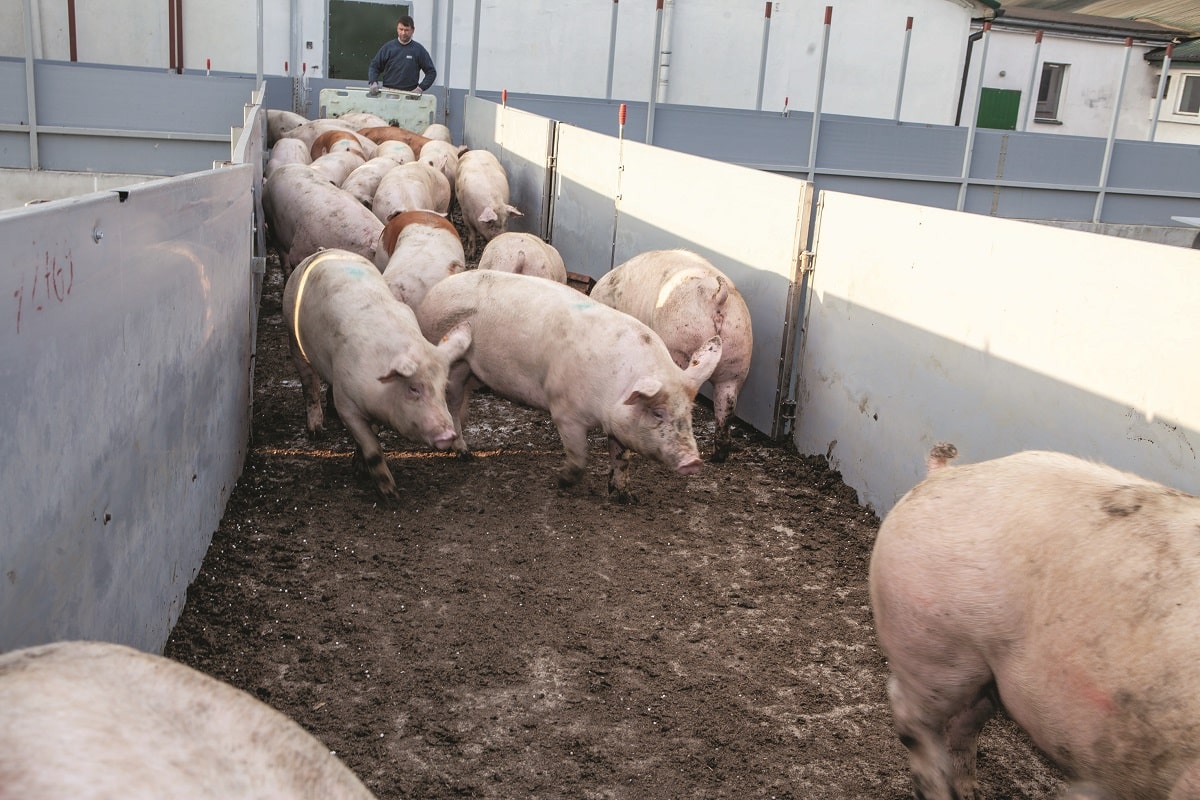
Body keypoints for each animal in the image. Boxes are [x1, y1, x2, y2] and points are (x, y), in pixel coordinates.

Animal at [283, 250, 470, 501]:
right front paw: (391, 494)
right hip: (293, 338)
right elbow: (372, 449)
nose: (448, 433)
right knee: (309, 383)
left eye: (443, 388)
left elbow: (371, 435)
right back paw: (316, 432)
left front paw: (359, 467)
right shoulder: (347, 405)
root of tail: (322, 251)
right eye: (413, 388)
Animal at [417, 272, 720, 503]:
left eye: (689, 413)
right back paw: (465, 455)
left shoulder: (619, 425)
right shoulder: (565, 412)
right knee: (452, 404)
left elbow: (621, 459)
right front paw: (562, 482)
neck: (614, 391)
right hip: (453, 361)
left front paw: (626, 498)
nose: (694, 462)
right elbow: (579, 455)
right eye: (658, 412)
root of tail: (435, 291)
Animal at [868, 448, 1200, 800]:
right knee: (911, 715)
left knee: (964, 721)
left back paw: (970, 791)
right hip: (933, 645)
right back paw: (938, 788)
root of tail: (943, 474)